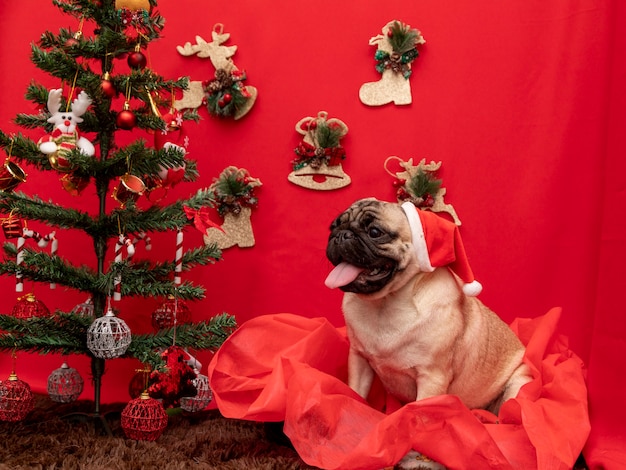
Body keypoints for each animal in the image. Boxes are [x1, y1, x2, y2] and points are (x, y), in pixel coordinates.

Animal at [324, 197, 528, 466]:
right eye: (333, 226)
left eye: (375, 232)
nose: (340, 234)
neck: (386, 305)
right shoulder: (359, 360)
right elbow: (355, 392)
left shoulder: (432, 378)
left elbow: (420, 415)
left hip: (518, 383)